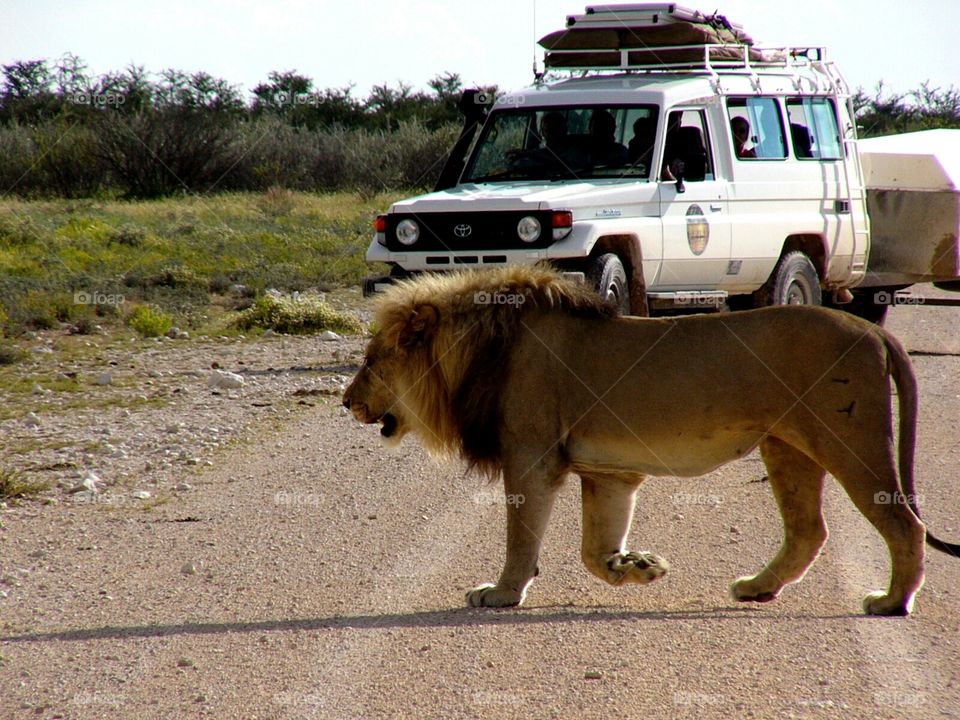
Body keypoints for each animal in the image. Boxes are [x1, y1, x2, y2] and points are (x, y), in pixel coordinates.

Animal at [342, 268, 956, 616]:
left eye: (371, 362)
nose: (345, 402)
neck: (475, 350)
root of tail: (873, 329)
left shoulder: (531, 458)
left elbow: (521, 538)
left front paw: (501, 593)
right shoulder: (608, 472)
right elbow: (592, 550)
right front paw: (636, 566)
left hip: (850, 437)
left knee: (904, 523)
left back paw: (891, 602)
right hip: (787, 446)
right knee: (808, 530)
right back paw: (757, 588)